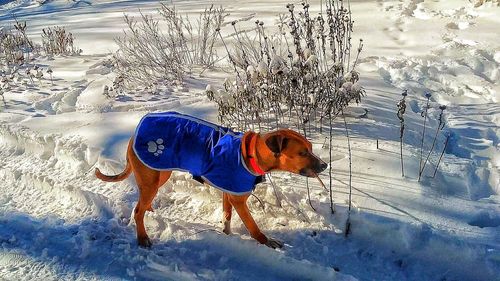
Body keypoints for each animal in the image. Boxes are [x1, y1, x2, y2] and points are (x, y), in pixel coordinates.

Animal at [95, 111, 328, 247]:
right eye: (302, 153)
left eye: (311, 148)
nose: (324, 165)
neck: (251, 154)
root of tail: (134, 135)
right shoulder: (239, 199)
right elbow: (252, 226)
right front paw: (266, 240)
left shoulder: (228, 192)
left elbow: (226, 217)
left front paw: (227, 234)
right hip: (151, 175)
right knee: (137, 211)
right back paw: (142, 237)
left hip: (159, 174)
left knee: (143, 202)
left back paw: (151, 211)